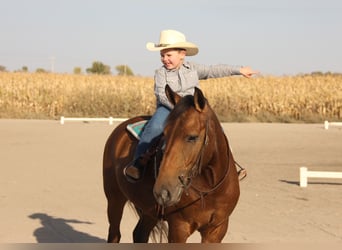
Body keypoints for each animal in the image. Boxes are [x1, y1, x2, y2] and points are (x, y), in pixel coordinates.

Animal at [103, 84, 239, 242]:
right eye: (165, 133)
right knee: (114, 233)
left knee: (139, 234)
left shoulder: (216, 230)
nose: (162, 191)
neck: (210, 188)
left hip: (150, 211)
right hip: (114, 198)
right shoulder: (179, 228)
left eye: (192, 137)